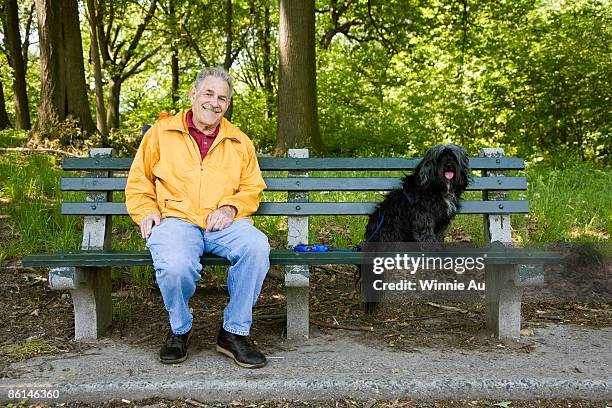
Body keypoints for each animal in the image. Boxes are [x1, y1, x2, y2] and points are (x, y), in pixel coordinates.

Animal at [360, 144, 470, 312]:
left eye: (453, 156)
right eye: (441, 157)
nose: (449, 165)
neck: (437, 188)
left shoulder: (440, 224)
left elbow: (438, 237)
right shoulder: (423, 220)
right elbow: (428, 239)